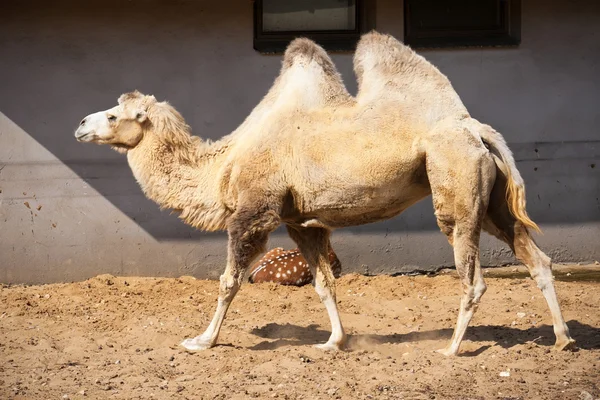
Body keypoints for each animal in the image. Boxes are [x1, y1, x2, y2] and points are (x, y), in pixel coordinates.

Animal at [76, 32, 576, 356]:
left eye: (116, 115)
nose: (80, 123)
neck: (224, 163)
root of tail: (478, 130)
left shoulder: (254, 214)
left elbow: (228, 281)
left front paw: (202, 340)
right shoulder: (300, 221)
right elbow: (323, 283)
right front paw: (333, 342)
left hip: (455, 186)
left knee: (472, 276)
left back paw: (451, 349)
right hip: (490, 200)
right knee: (536, 258)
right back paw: (562, 338)